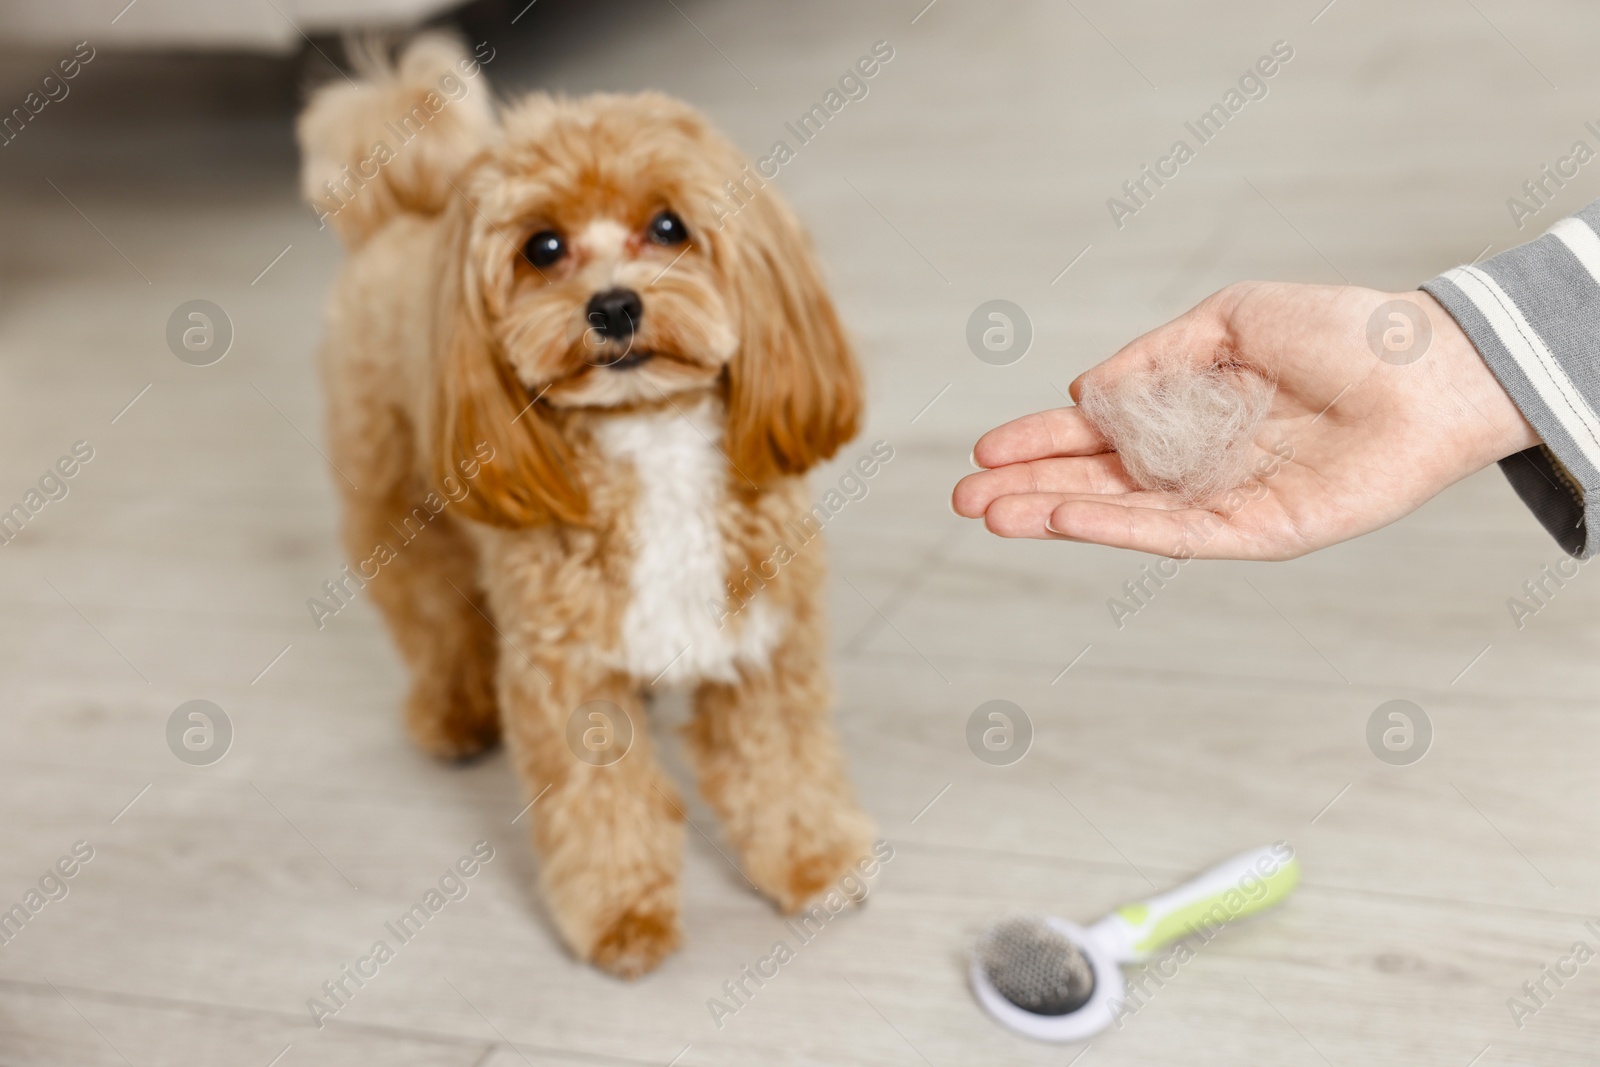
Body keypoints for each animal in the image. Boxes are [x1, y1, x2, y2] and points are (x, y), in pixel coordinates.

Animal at [300, 37, 876, 979]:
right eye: (543, 246)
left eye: (670, 226)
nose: (613, 305)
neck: (651, 434)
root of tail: (402, 215)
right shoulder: (566, 675)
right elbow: (604, 805)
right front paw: (621, 918)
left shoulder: (760, 645)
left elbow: (782, 764)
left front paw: (814, 860)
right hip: (396, 507)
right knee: (431, 617)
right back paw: (453, 715)